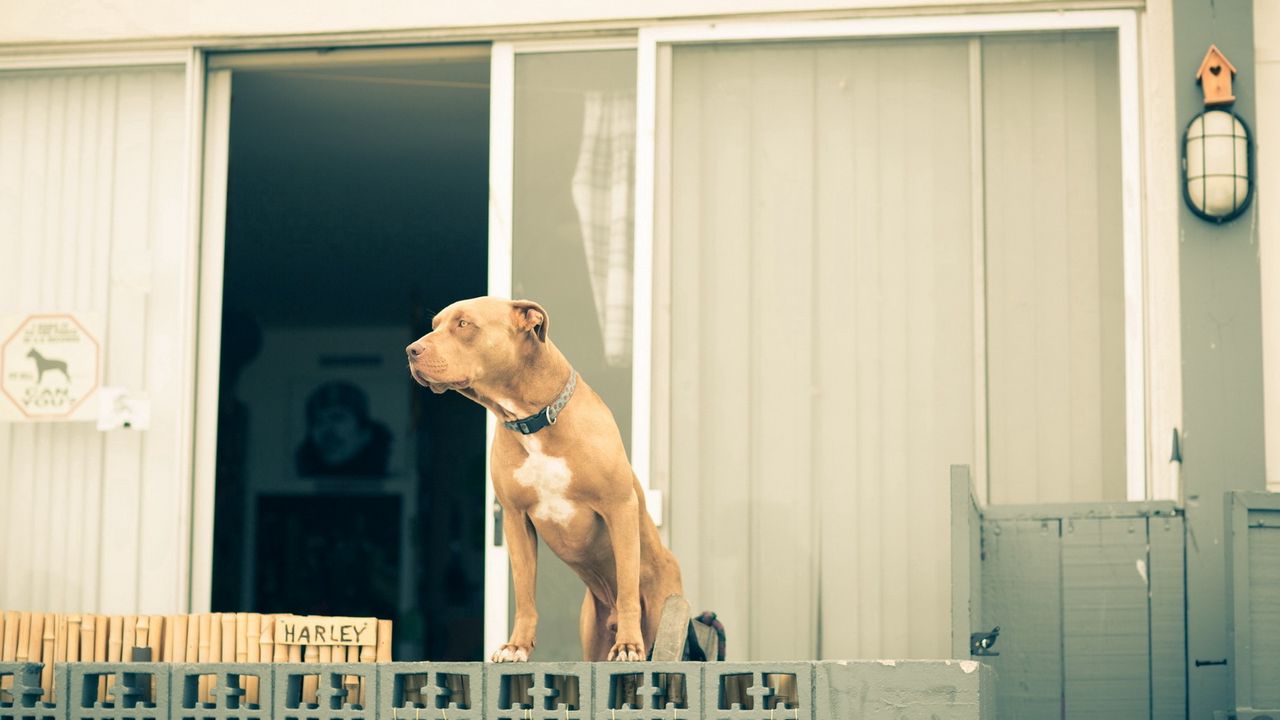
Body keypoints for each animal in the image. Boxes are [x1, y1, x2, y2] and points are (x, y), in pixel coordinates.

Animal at [409, 297, 691, 661]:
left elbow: (628, 584)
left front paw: (629, 645)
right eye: (435, 325)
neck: (534, 420)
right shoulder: (516, 519)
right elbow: (524, 593)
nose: (411, 350)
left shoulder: (619, 507)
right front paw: (517, 646)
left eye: (463, 324)